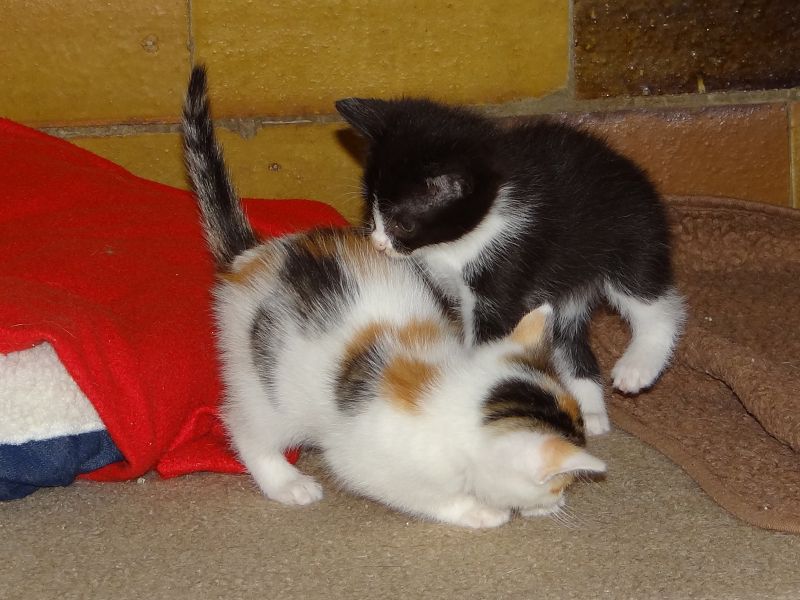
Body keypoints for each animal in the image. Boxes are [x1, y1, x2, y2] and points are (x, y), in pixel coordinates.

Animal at [182, 65, 606, 528]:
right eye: (559, 484)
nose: (560, 502)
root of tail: (250, 257)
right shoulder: (366, 460)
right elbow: (422, 495)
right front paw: (482, 511)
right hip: (264, 380)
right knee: (245, 422)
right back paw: (285, 481)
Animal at [335, 97, 687, 436]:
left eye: (404, 225)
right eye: (371, 210)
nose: (378, 244)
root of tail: (632, 170)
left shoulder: (505, 270)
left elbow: (488, 339)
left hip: (632, 239)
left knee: (654, 304)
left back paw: (638, 366)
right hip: (564, 286)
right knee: (565, 335)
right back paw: (590, 409)